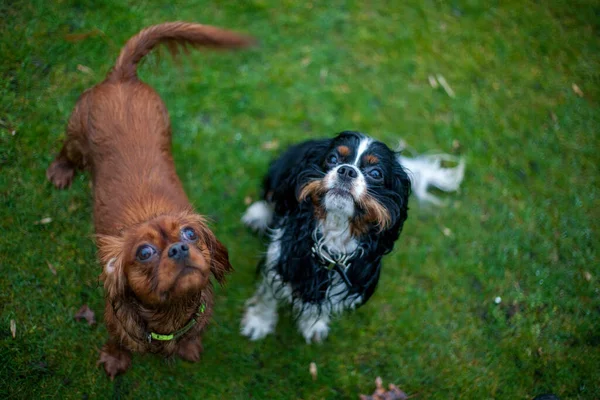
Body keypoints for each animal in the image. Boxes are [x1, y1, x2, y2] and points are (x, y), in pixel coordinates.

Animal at [47, 21, 252, 378]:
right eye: (144, 252)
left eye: (190, 234)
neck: (170, 317)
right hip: (76, 134)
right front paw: (115, 359)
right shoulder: (116, 321)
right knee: (67, 151)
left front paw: (189, 347)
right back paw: (61, 171)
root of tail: (122, 76)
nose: (179, 248)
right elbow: (117, 338)